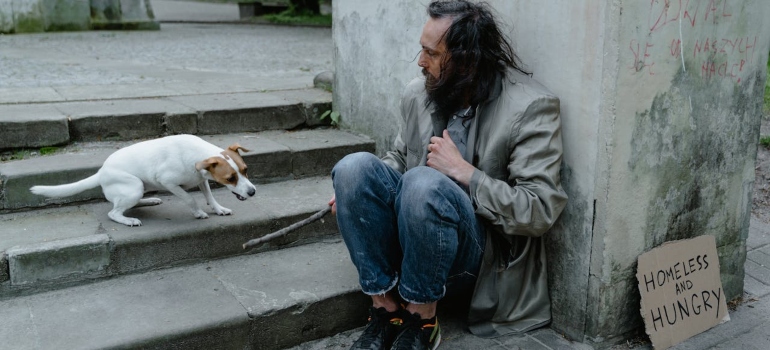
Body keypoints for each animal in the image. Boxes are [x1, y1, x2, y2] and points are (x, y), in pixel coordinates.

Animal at [30, 134, 258, 227]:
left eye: (245, 170)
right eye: (231, 178)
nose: (253, 192)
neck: (197, 155)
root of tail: (101, 172)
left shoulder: (201, 179)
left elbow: (210, 197)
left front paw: (219, 209)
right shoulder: (168, 182)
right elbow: (190, 199)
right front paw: (198, 213)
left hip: (140, 188)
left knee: (126, 204)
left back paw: (149, 201)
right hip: (135, 186)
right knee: (114, 212)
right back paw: (128, 220)